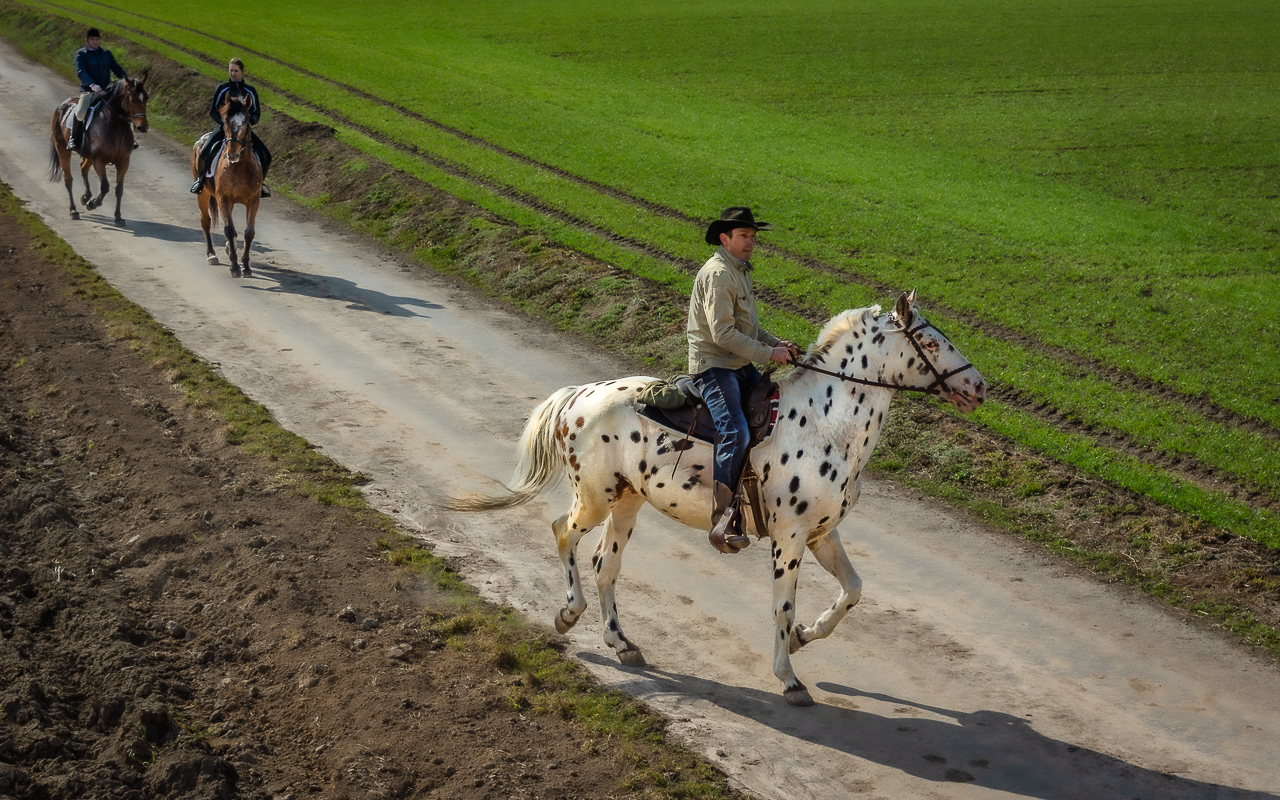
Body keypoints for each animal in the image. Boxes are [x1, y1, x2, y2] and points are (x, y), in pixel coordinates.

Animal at [49, 71, 150, 225]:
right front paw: (93, 204)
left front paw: (118, 217)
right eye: (132, 99)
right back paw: (74, 210)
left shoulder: (123, 162)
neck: (115, 124)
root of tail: (64, 104)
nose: (142, 127)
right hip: (63, 150)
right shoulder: (99, 161)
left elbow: (119, 189)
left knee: (83, 168)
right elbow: (105, 186)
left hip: (88, 155)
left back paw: (86, 196)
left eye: (146, 98)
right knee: (68, 179)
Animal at [189, 94, 262, 277]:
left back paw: (229, 249)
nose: (233, 153)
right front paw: (235, 267)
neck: (239, 166)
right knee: (206, 221)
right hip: (203, 195)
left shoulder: (254, 200)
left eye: (246, 122)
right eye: (225, 121)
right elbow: (228, 229)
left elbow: (249, 232)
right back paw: (211, 255)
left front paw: (246, 266)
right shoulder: (223, 198)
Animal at [445, 290, 983, 701]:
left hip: (628, 502)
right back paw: (567, 614)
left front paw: (805, 637)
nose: (979, 386)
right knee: (563, 533)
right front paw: (789, 678)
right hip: (596, 497)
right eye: (930, 340)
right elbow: (782, 607)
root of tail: (578, 395)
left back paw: (622, 643)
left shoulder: (821, 534)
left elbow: (853, 590)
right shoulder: (789, 537)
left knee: (606, 566)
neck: (826, 425)